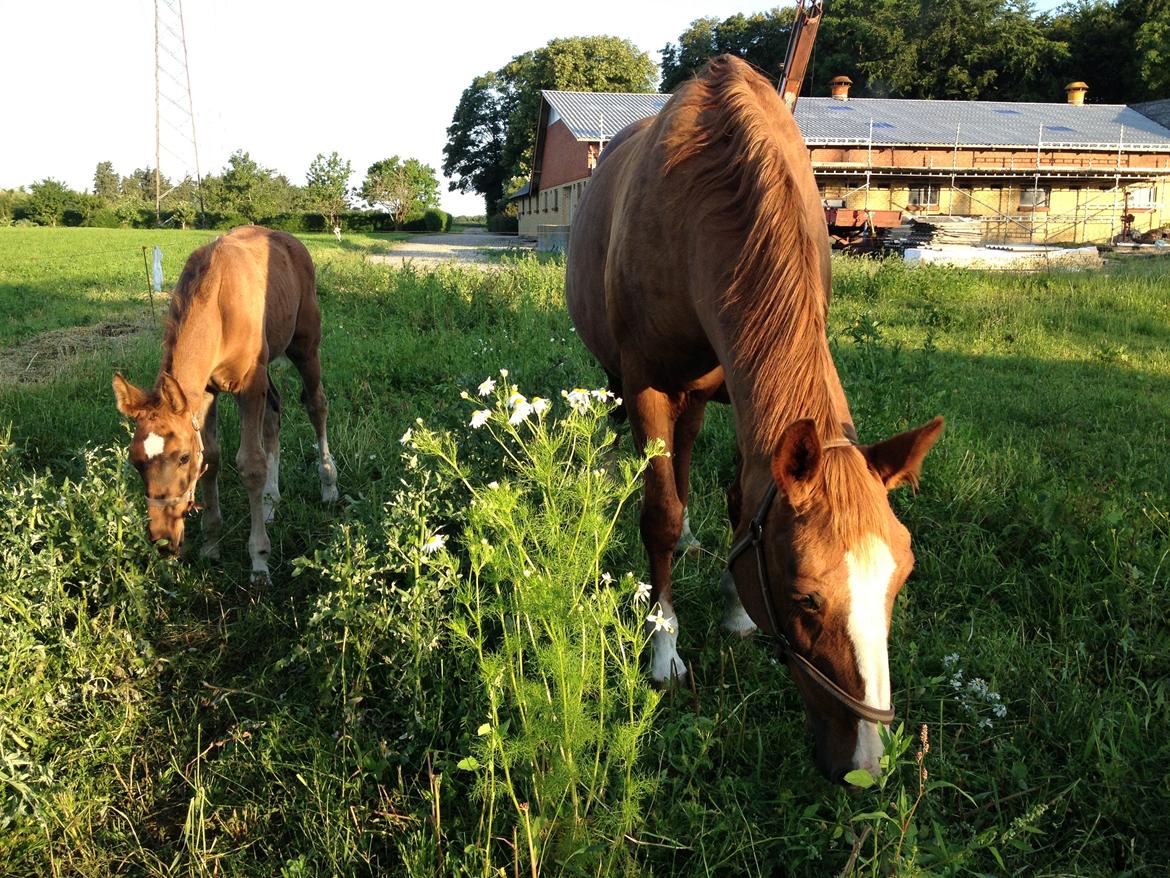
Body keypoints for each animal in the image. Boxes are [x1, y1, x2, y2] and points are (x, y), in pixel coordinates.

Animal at [112, 227, 339, 580]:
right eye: (135, 461)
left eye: (182, 457)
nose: (162, 541)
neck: (219, 305)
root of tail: (292, 240)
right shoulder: (207, 391)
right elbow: (212, 458)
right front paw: (211, 544)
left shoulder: (249, 383)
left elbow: (251, 464)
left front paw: (259, 561)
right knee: (274, 413)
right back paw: (271, 501)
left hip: (305, 345)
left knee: (317, 405)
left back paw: (328, 485)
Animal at [566, 56, 940, 782]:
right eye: (803, 598)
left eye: (900, 581)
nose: (865, 763)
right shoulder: (647, 381)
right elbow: (657, 514)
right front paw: (664, 650)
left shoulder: (743, 404)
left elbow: (741, 500)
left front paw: (734, 610)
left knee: (683, 460)